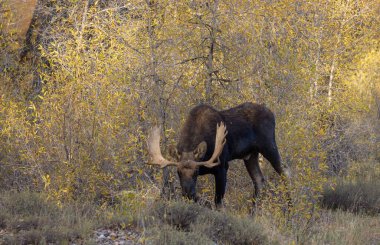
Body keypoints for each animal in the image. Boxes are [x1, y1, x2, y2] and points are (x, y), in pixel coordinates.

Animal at [147, 102, 290, 208]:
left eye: (196, 172)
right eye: (178, 172)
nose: (187, 192)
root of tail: (272, 114)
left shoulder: (222, 167)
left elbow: (218, 203)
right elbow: (201, 199)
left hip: (268, 145)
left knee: (285, 171)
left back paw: (289, 210)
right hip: (251, 155)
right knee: (259, 180)